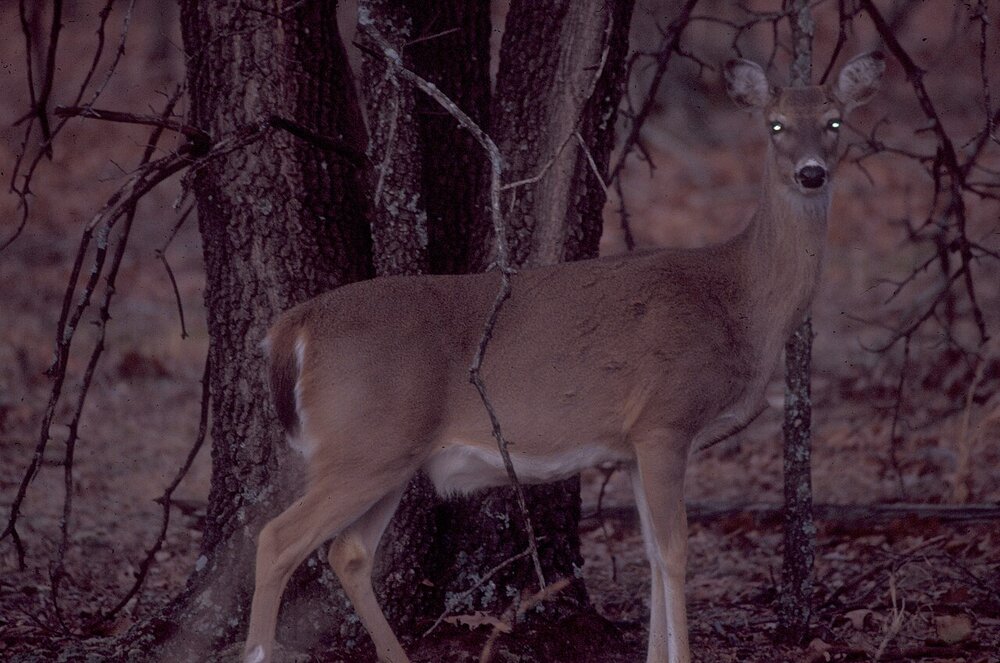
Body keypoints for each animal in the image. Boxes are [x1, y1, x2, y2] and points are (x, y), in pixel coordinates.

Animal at [242, 51, 884, 663]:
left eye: (834, 121)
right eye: (776, 125)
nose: (810, 173)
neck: (740, 303)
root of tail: (295, 326)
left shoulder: (633, 444)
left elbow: (652, 555)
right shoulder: (665, 419)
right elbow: (674, 553)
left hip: (387, 454)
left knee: (347, 552)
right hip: (362, 443)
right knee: (276, 540)